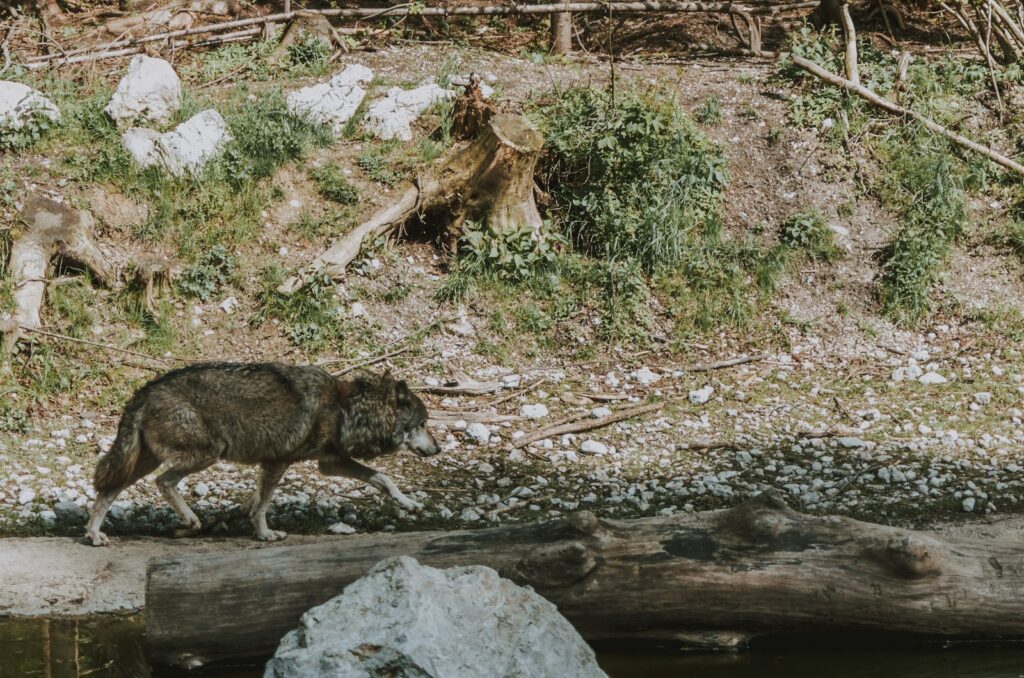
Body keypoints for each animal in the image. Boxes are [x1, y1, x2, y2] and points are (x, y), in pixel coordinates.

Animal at [84, 363, 439, 546]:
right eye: (422, 424)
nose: (437, 449)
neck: (345, 409)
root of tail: (144, 391)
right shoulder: (277, 462)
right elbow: (263, 505)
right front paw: (266, 534)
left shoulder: (330, 462)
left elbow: (383, 478)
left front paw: (409, 504)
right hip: (207, 453)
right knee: (163, 482)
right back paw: (190, 521)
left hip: (143, 461)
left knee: (107, 491)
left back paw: (94, 534)